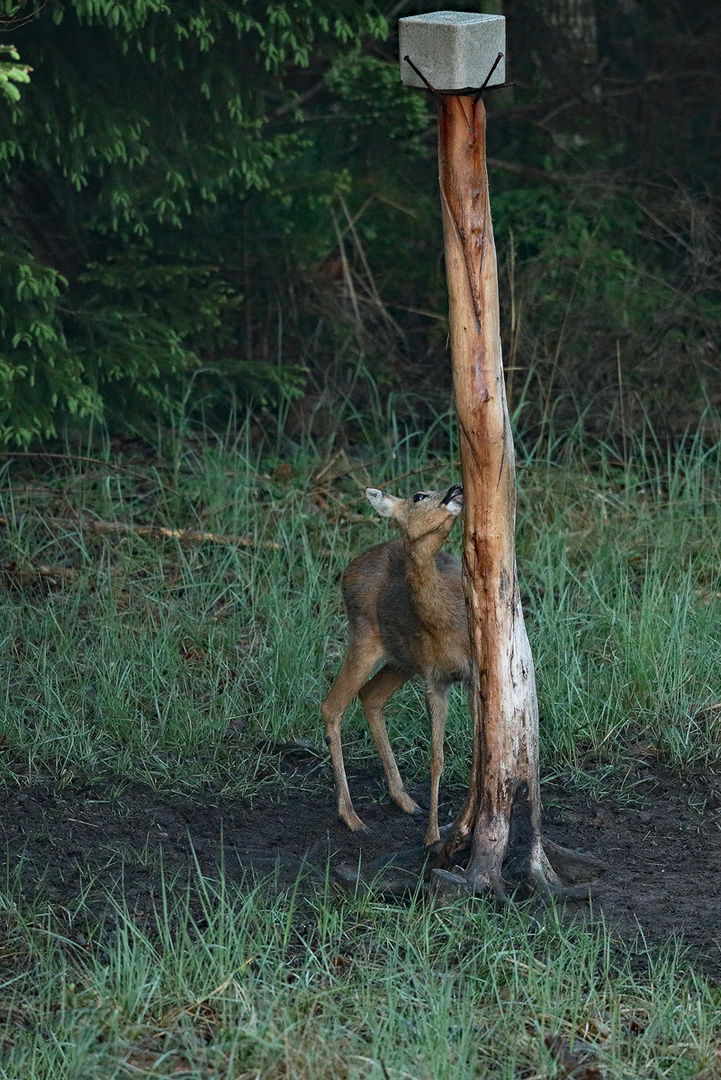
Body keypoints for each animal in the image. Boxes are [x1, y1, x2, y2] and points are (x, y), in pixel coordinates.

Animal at [319, 486, 468, 846]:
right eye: (419, 495)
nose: (456, 488)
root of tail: (348, 569)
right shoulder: (434, 679)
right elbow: (437, 758)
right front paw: (432, 837)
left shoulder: (472, 675)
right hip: (365, 637)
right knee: (333, 706)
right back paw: (352, 816)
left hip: (402, 660)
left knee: (371, 696)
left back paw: (405, 800)